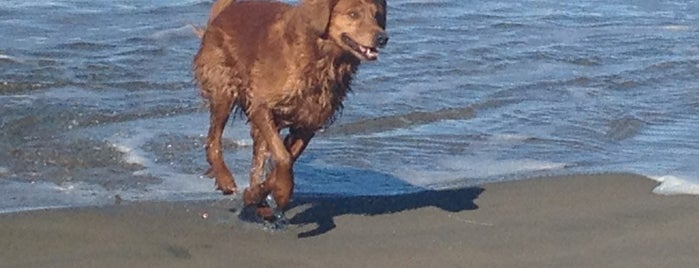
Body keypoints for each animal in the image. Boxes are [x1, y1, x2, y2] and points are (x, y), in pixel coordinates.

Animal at [193, 0, 388, 217]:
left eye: (377, 15)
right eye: (353, 14)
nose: (382, 38)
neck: (320, 55)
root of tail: (227, 9)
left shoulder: (309, 122)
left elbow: (286, 159)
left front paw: (256, 194)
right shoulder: (260, 105)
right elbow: (283, 157)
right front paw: (282, 192)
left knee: (257, 158)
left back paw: (258, 204)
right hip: (224, 89)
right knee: (213, 140)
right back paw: (225, 179)